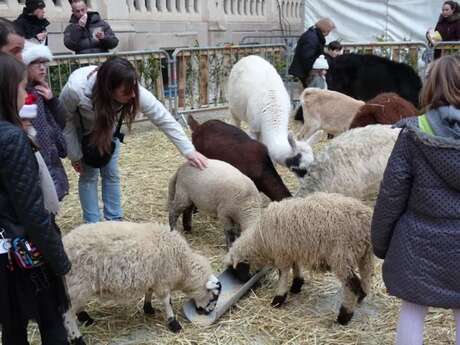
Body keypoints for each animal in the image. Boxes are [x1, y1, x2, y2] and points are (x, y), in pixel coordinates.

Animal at [61, 220, 221, 342]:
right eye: (213, 296)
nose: (208, 313)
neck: (184, 265)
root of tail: (66, 242)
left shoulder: (153, 278)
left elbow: (148, 292)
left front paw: (148, 308)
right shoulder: (163, 281)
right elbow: (167, 302)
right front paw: (174, 323)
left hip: (78, 287)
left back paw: (86, 318)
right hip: (77, 284)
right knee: (67, 315)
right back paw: (77, 338)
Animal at [225, 192, 376, 324]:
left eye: (235, 271)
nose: (242, 281)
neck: (260, 239)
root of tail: (365, 221)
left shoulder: (281, 254)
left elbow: (283, 274)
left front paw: (278, 299)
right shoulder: (292, 249)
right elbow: (295, 266)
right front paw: (297, 285)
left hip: (342, 256)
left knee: (352, 286)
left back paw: (344, 316)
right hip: (364, 255)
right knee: (366, 277)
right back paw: (361, 296)